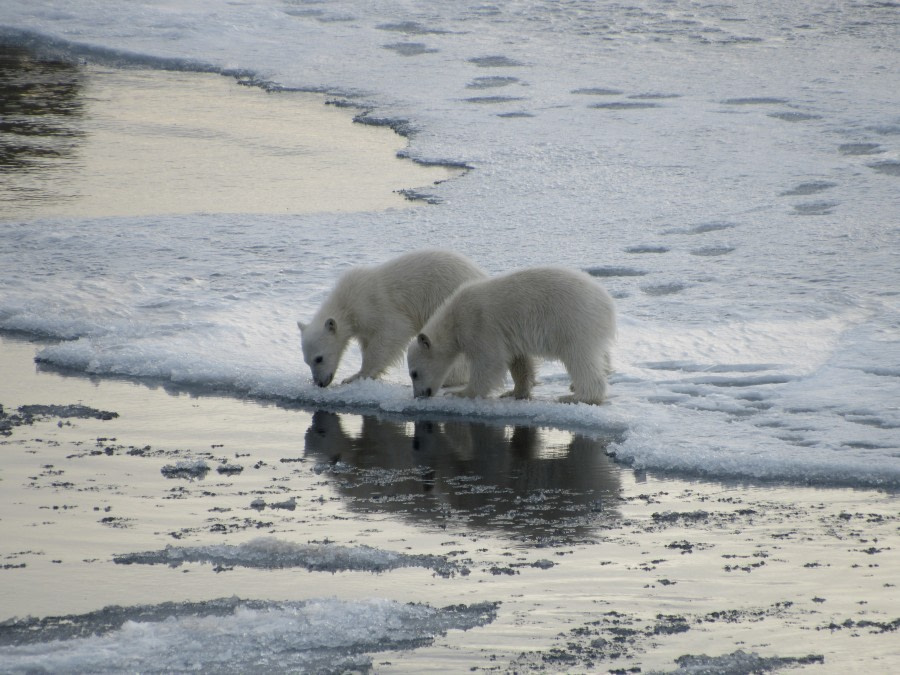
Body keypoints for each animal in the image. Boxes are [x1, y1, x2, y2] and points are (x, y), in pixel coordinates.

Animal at [298, 248, 486, 386]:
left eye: (319, 358)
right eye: (307, 361)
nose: (320, 383)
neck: (347, 301)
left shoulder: (377, 307)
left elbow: (391, 334)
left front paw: (356, 376)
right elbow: (367, 342)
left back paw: (449, 379)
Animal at [410, 268, 616, 406]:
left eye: (414, 373)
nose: (419, 395)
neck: (454, 318)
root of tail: (607, 302)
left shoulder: (480, 326)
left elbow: (489, 361)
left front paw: (460, 393)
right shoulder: (509, 335)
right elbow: (520, 361)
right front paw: (515, 392)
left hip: (574, 322)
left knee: (579, 359)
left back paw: (576, 396)